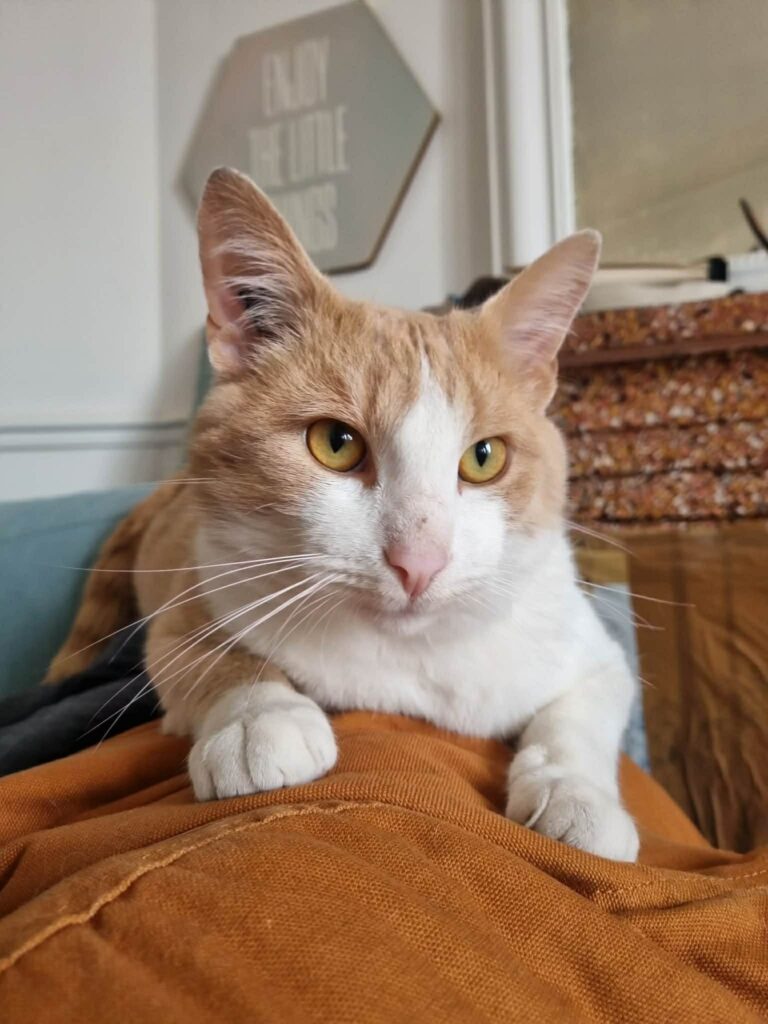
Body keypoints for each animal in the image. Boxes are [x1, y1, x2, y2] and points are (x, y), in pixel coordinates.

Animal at [47, 167, 639, 861]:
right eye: (336, 443)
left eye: (484, 458)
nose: (419, 562)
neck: (406, 661)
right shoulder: (191, 596)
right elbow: (216, 658)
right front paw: (261, 718)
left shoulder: (589, 650)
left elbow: (580, 713)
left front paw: (577, 792)